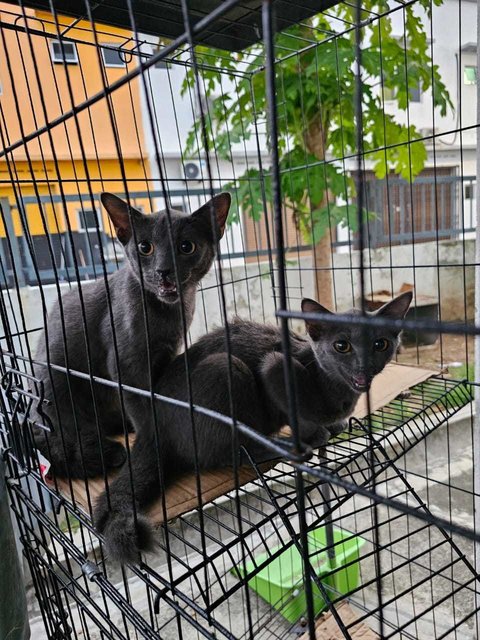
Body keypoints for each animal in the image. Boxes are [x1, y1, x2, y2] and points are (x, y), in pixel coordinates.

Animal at [31, 192, 231, 478]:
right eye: (145, 247)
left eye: (186, 246)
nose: (163, 270)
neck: (166, 313)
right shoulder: (126, 365)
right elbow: (142, 407)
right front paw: (153, 446)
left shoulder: (163, 356)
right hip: (56, 388)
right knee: (67, 437)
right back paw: (106, 451)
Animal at [94, 290, 412, 560]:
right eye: (341, 346)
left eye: (380, 344)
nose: (363, 367)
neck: (340, 390)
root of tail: (151, 430)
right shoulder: (275, 368)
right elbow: (300, 414)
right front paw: (314, 433)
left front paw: (336, 424)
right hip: (225, 369)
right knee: (226, 454)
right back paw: (282, 446)